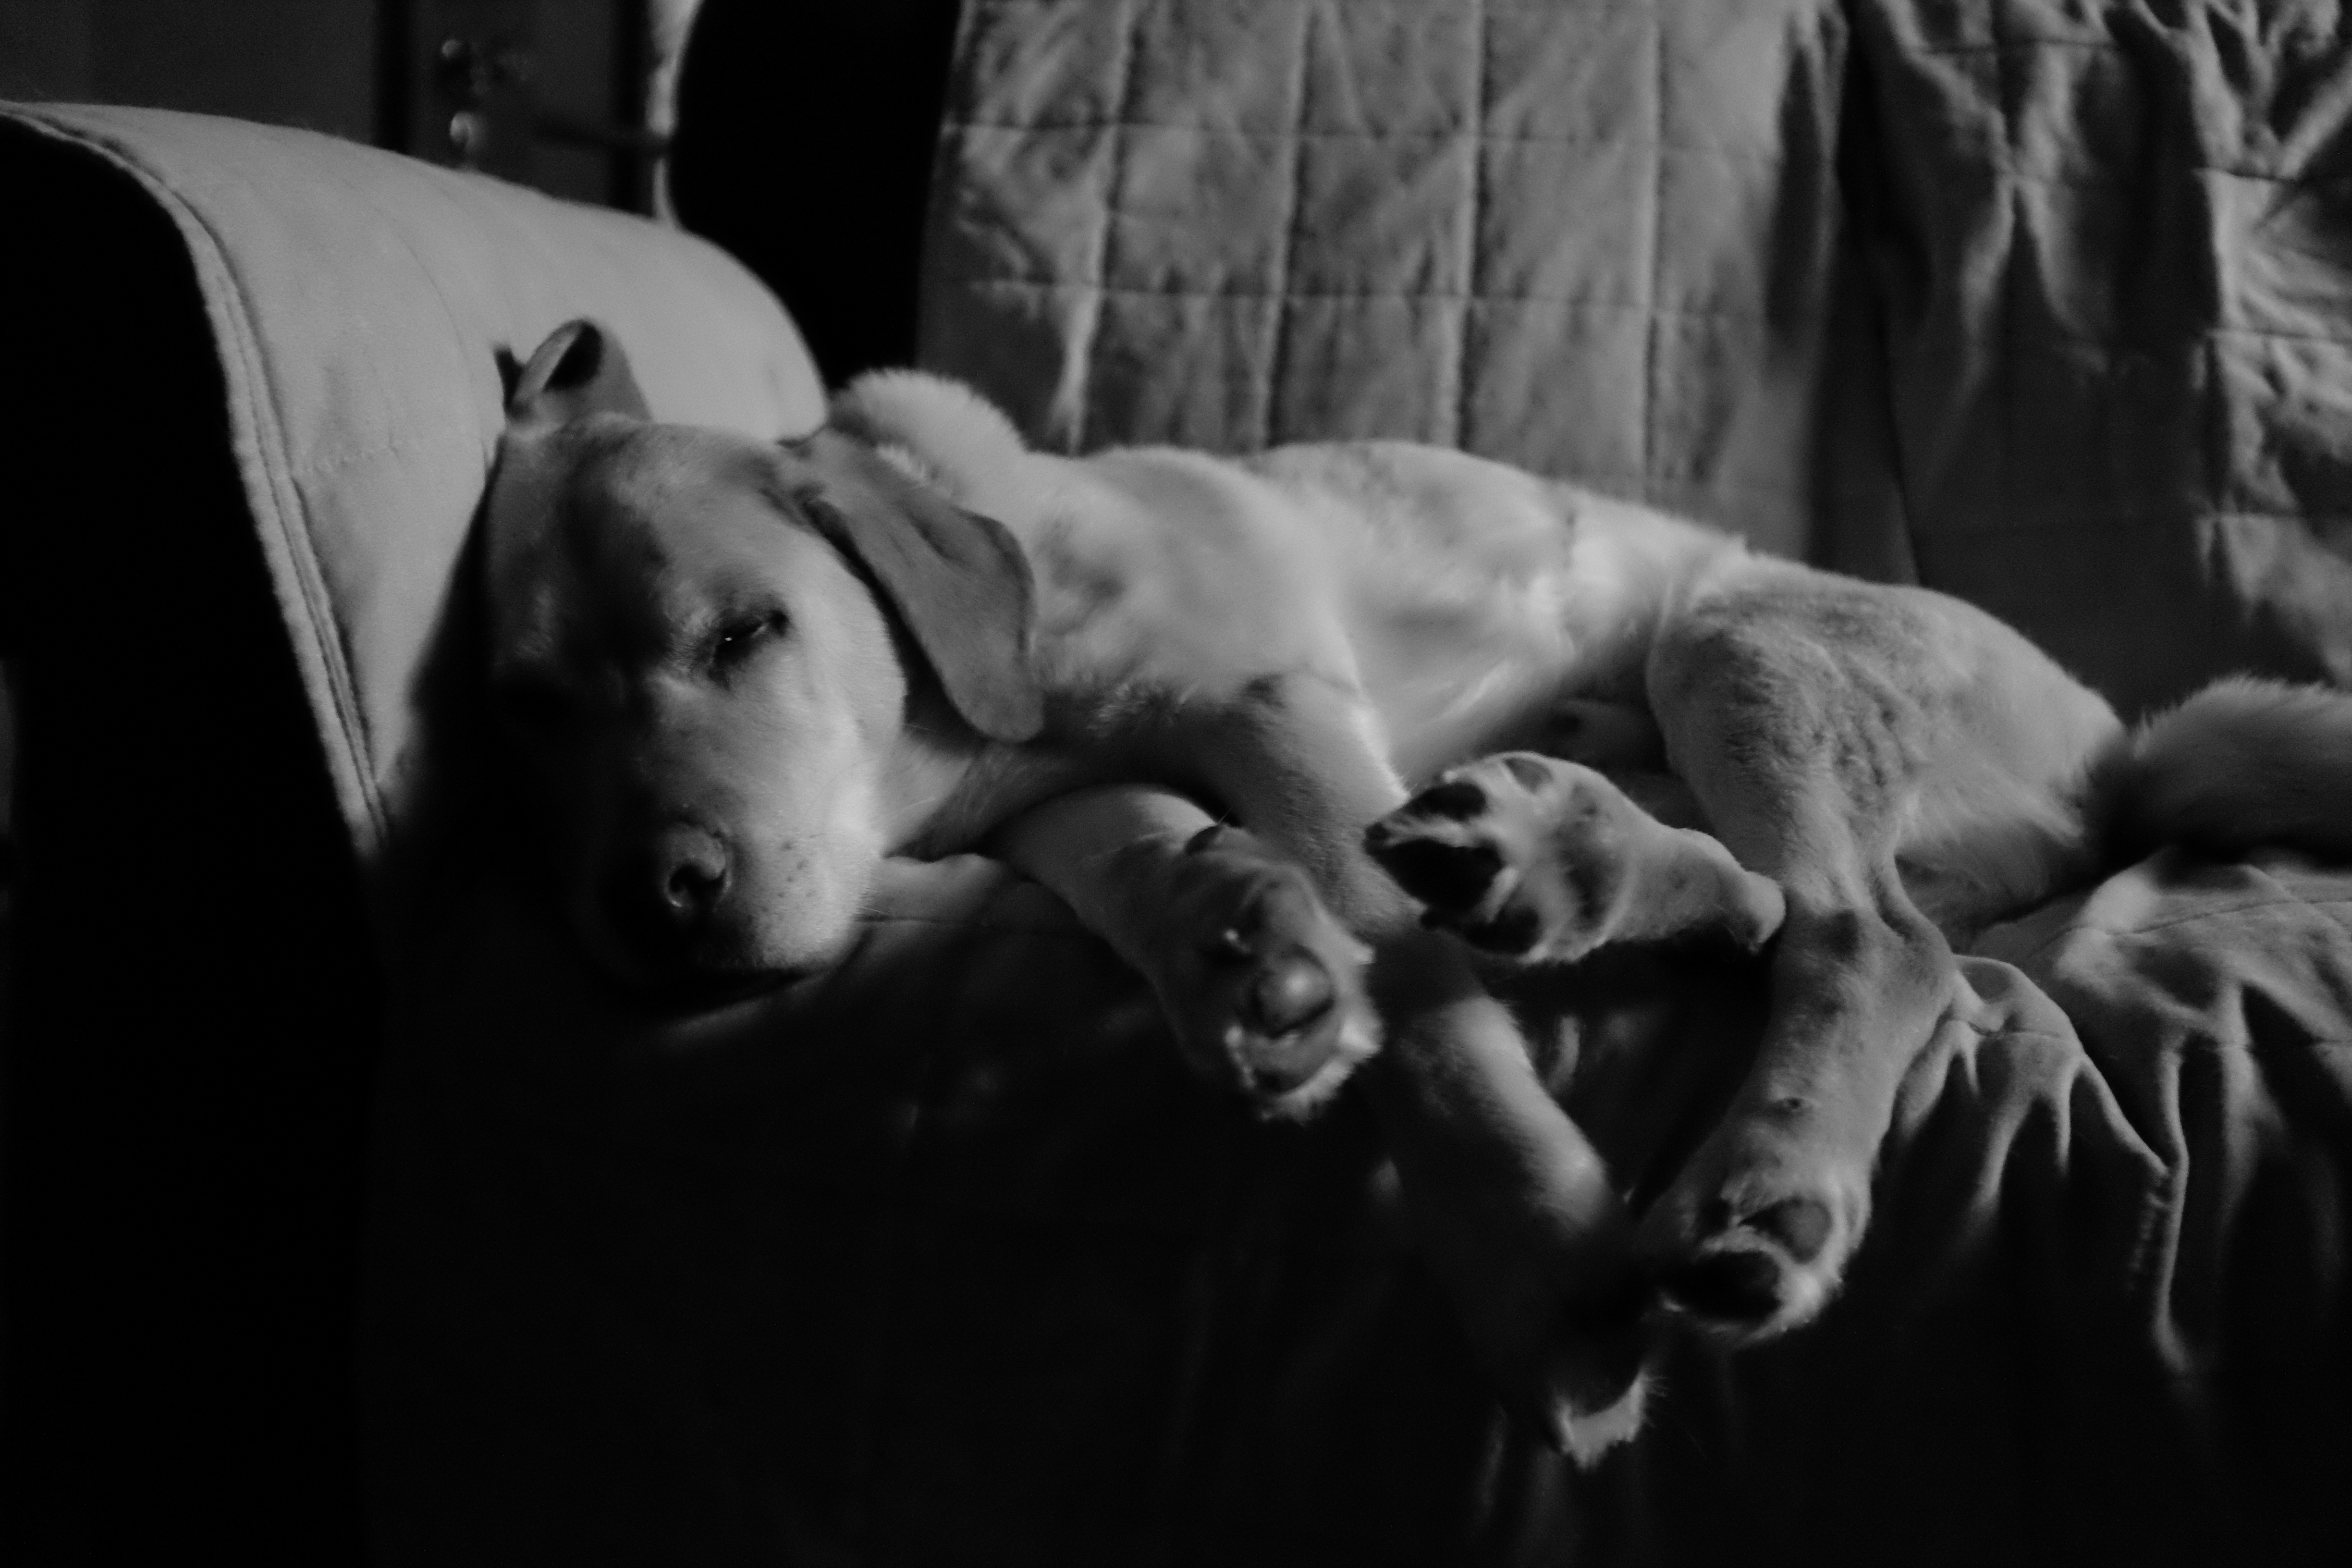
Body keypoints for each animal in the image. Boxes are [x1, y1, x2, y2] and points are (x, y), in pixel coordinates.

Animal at [481, 318, 2352, 1460]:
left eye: (746, 633)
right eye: (531, 714)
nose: (656, 896)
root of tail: (2127, 749)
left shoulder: (1265, 702)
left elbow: (1417, 997)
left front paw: (1529, 1254)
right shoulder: (1070, 799)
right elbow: (1149, 868)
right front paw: (1244, 960)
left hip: (1730, 633)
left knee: (1866, 938)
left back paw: (1763, 1184)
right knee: (1778, 908)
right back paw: (1562, 863)